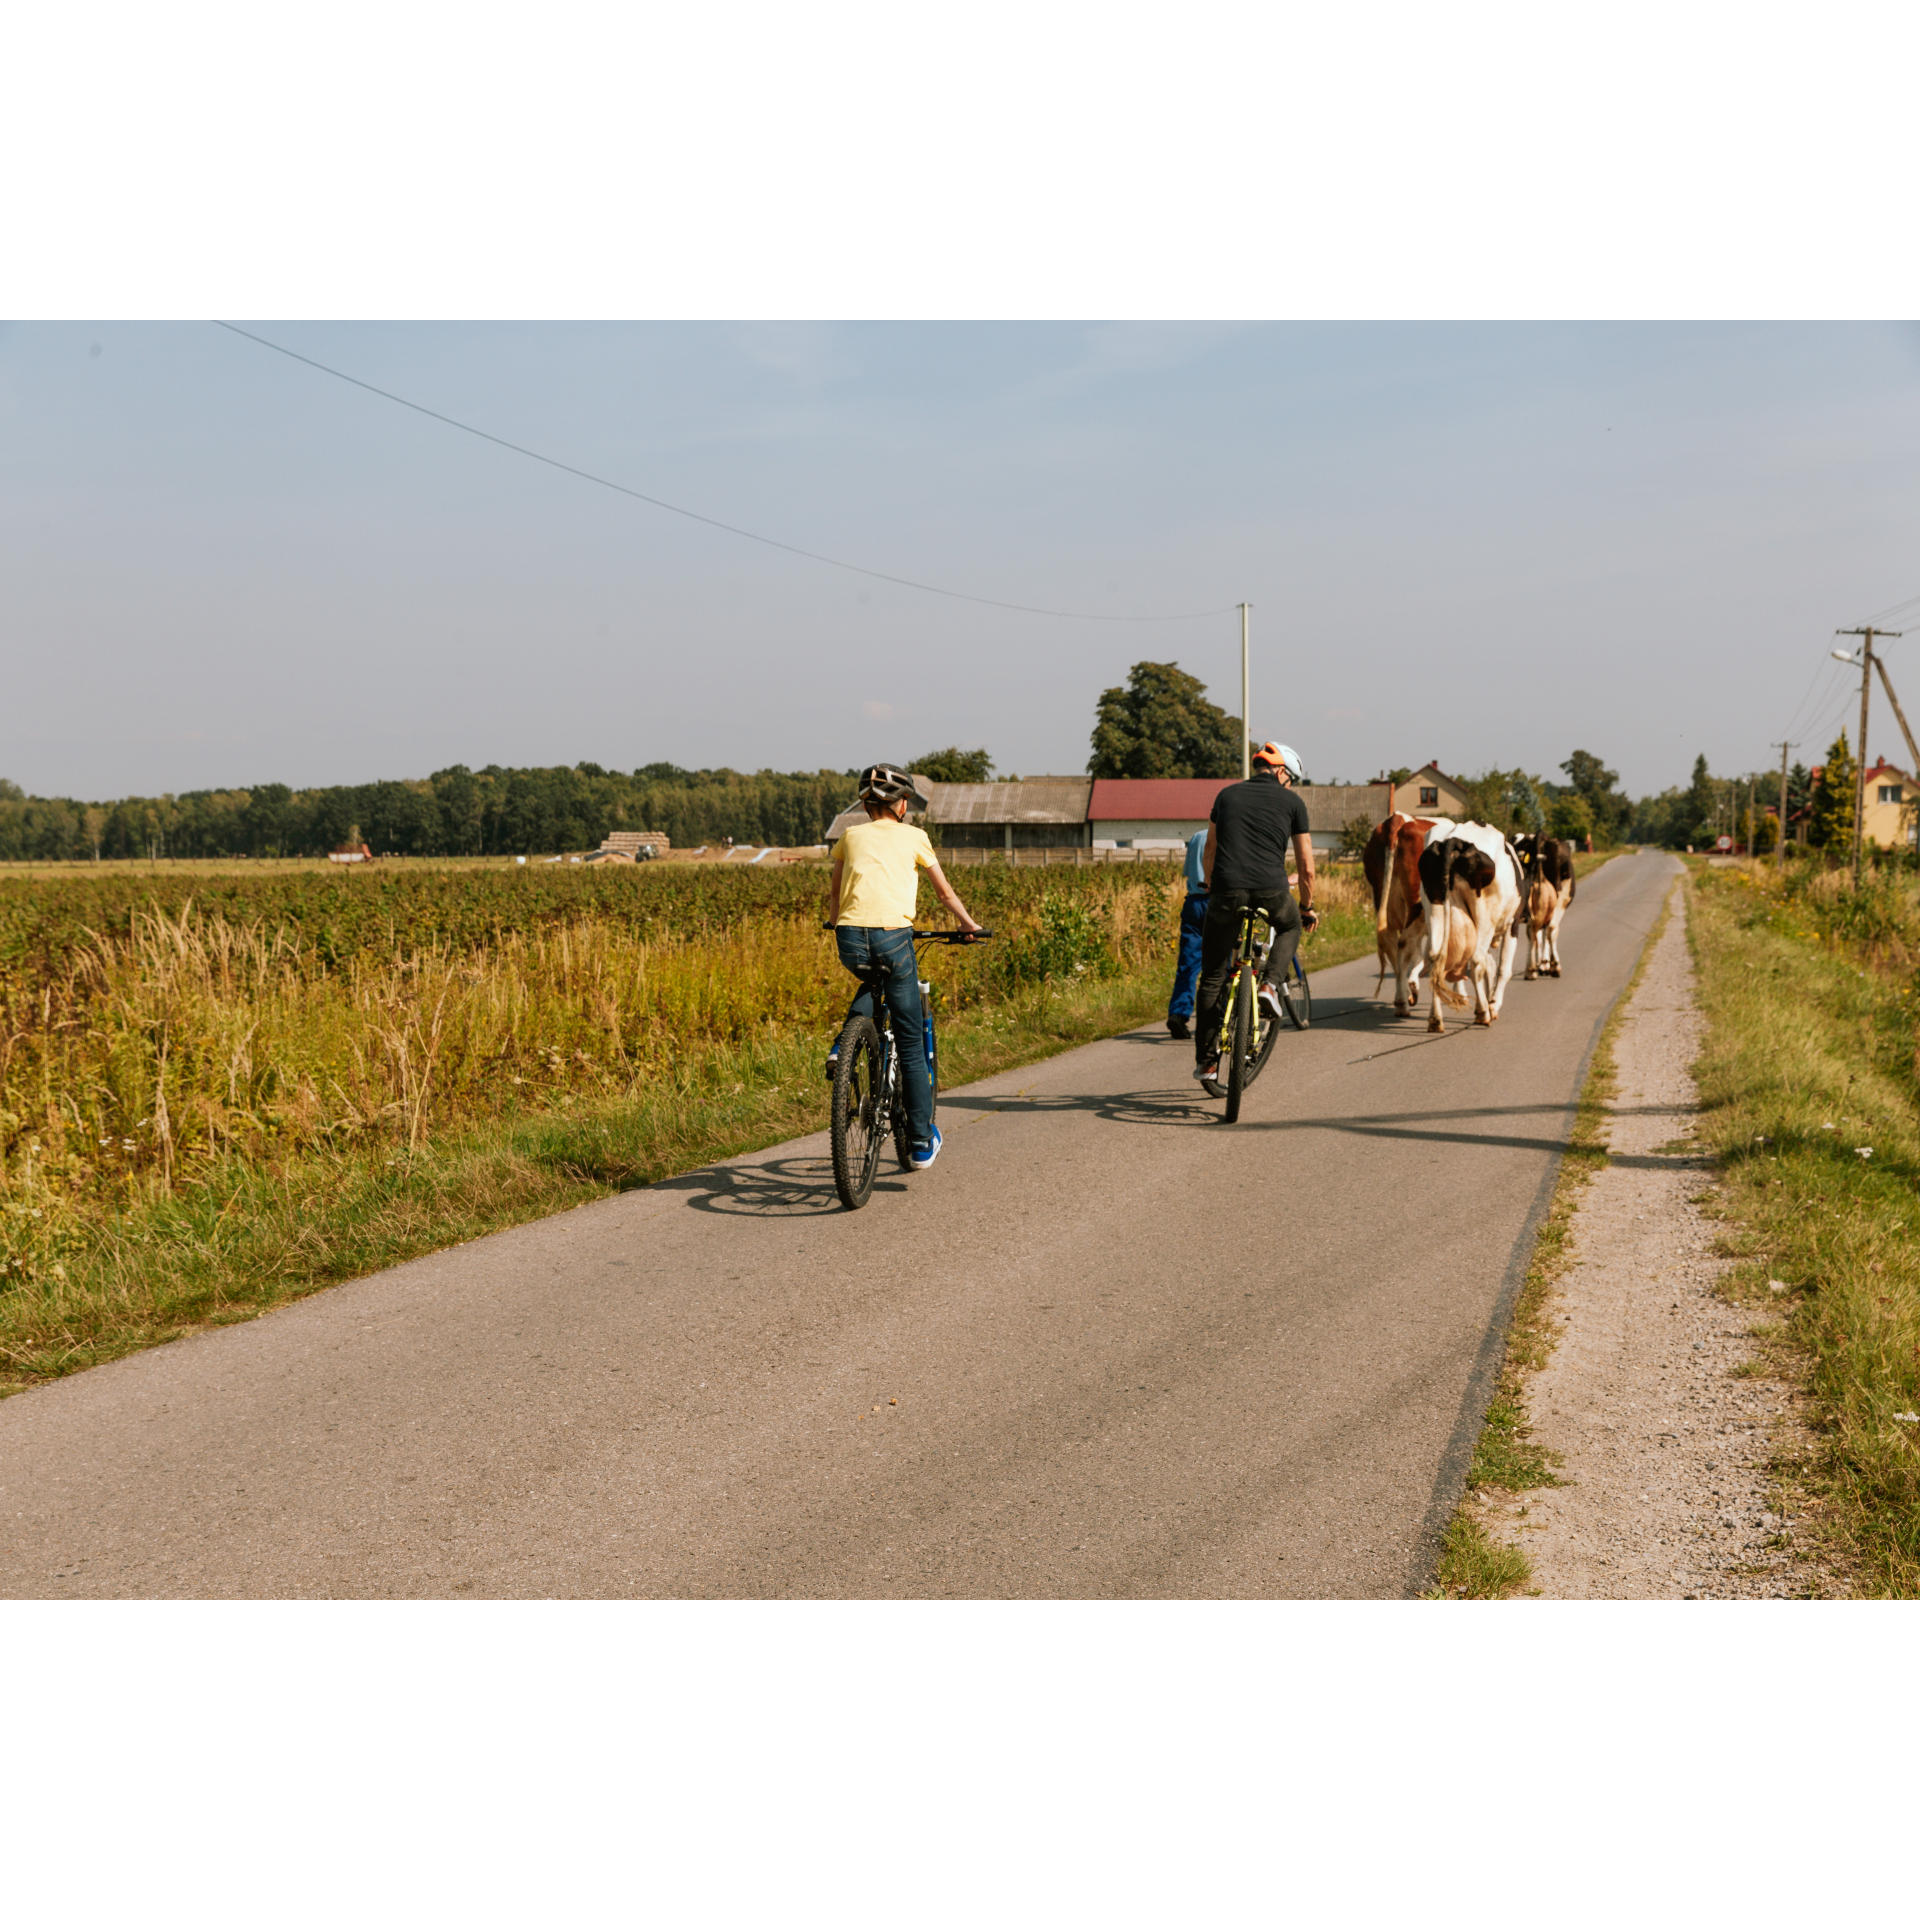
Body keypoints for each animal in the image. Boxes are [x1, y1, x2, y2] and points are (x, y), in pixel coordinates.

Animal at [1359, 810, 1436, 1021]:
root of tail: (1397, 818)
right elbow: (1419, 955)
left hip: (1383, 902)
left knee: (1391, 942)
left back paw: (1401, 1001)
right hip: (1415, 906)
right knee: (1402, 944)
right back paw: (1404, 1001)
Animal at [1420, 825, 1520, 1036]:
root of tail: (1455, 839)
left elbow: (1491, 965)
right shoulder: (1513, 922)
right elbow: (1502, 969)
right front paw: (1493, 1004)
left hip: (1434, 907)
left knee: (1434, 959)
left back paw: (1435, 1020)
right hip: (1484, 915)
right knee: (1476, 960)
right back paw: (1483, 1013)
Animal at [1512, 829, 1574, 975]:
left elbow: (1539, 935)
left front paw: (1542, 963)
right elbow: (1547, 931)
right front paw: (1546, 963)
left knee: (1536, 930)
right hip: (1559, 898)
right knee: (1548, 928)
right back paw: (1548, 965)